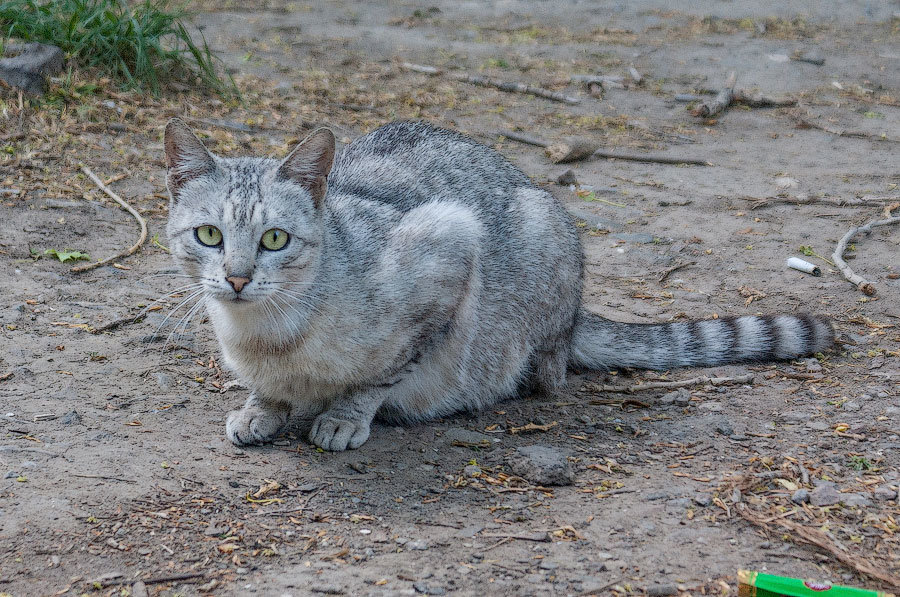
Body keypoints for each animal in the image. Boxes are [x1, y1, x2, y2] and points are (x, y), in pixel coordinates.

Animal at [163, 117, 836, 452]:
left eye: (275, 239)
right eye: (209, 235)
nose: (237, 277)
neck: (266, 336)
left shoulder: (450, 243)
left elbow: (386, 371)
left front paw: (345, 415)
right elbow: (269, 392)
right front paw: (262, 409)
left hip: (546, 237)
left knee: (551, 367)